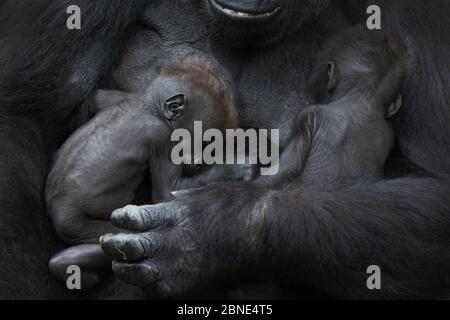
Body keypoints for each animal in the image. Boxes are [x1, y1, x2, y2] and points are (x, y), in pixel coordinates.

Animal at [46, 55, 239, 290]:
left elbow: (92, 98)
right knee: (122, 236)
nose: (199, 160)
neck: (149, 108)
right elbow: (167, 192)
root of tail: (55, 210)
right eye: (204, 141)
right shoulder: (163, 139)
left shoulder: (117, 97)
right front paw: (238, 166)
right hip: (77, 224)